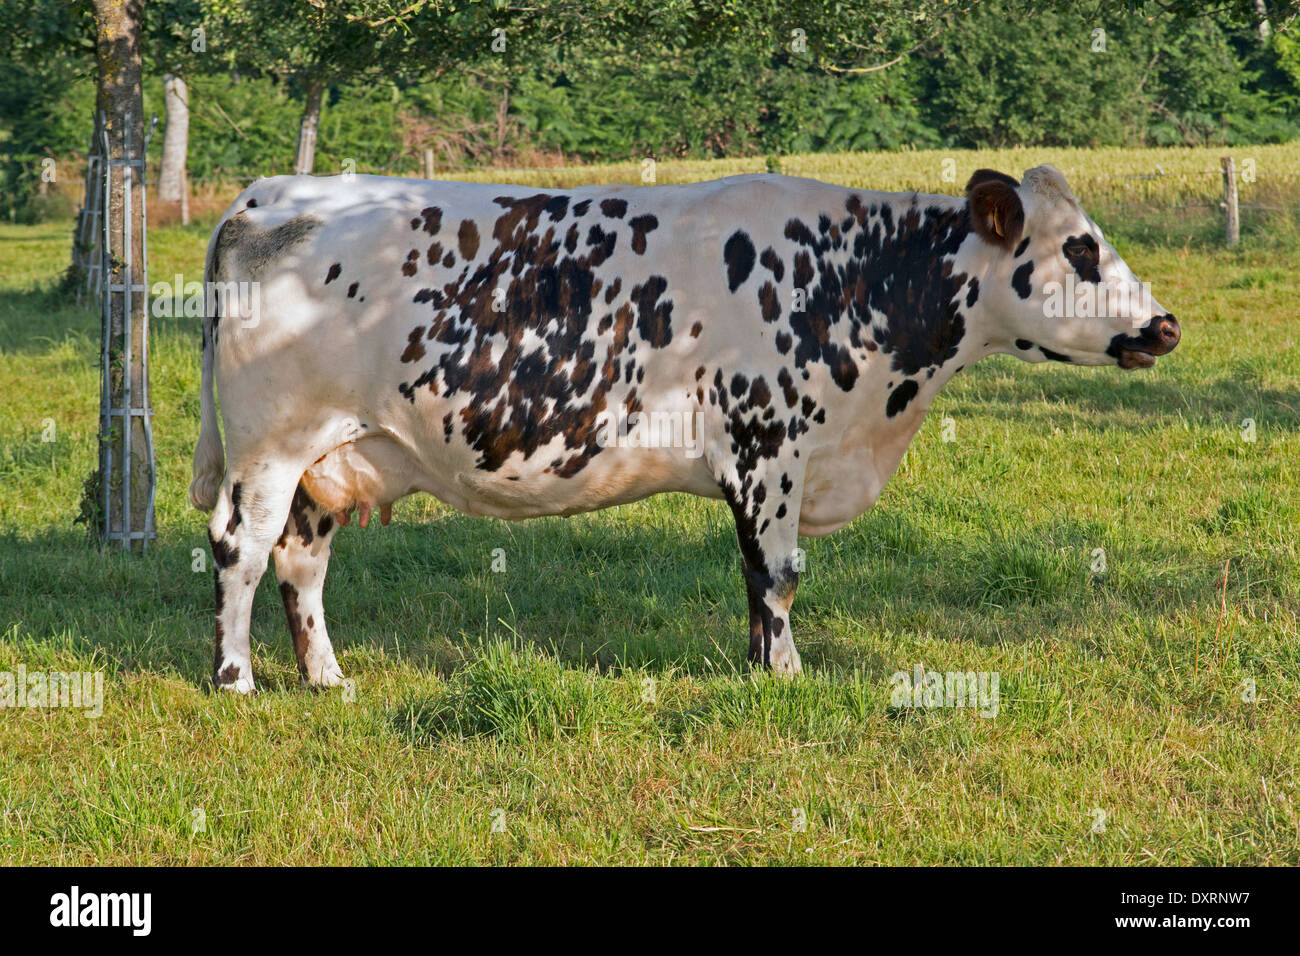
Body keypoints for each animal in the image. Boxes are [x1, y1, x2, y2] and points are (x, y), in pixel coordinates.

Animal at [189, 162, 1180, 686]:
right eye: (1080, 250)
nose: (1167, 325)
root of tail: (269, 194)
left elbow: (753, 576)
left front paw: (756, 669)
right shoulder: (769, 443)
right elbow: (779, 573)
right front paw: (787, 676)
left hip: (331, 454)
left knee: (300, 560)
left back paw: (327, 679)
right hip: (268, 446)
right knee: (241, 547)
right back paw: (237, 681)